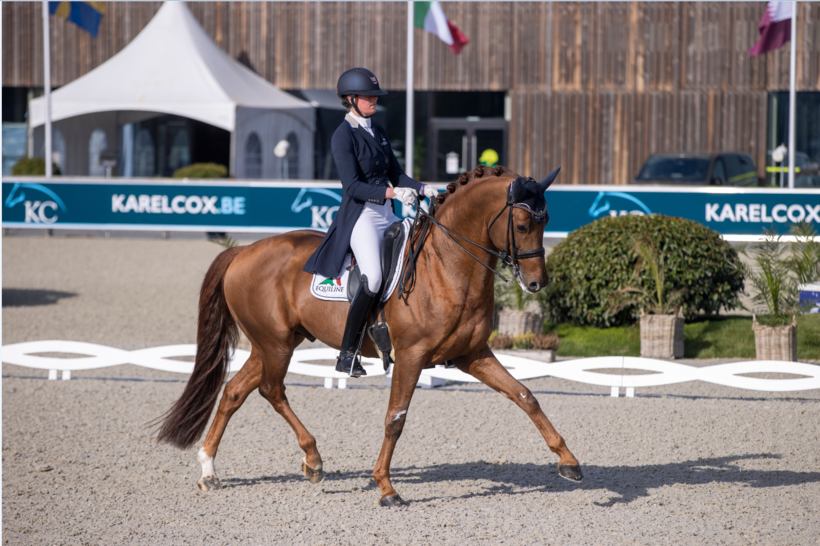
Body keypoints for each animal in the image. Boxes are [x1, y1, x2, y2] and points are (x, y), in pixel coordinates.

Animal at [157, 164, 584, 504]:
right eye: (523, 225)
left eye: (547, 222)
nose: (536, 283)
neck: (446, 266)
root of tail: (243, 250)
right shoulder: (411, 356)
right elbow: (395, 419)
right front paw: (386, 488)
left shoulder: (472, 355)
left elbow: (525, 396)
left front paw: (569, 462)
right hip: (275, 344)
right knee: (271, 391)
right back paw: (313, 460)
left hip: (274, 343)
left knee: (235, 391)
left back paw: (209, 471)